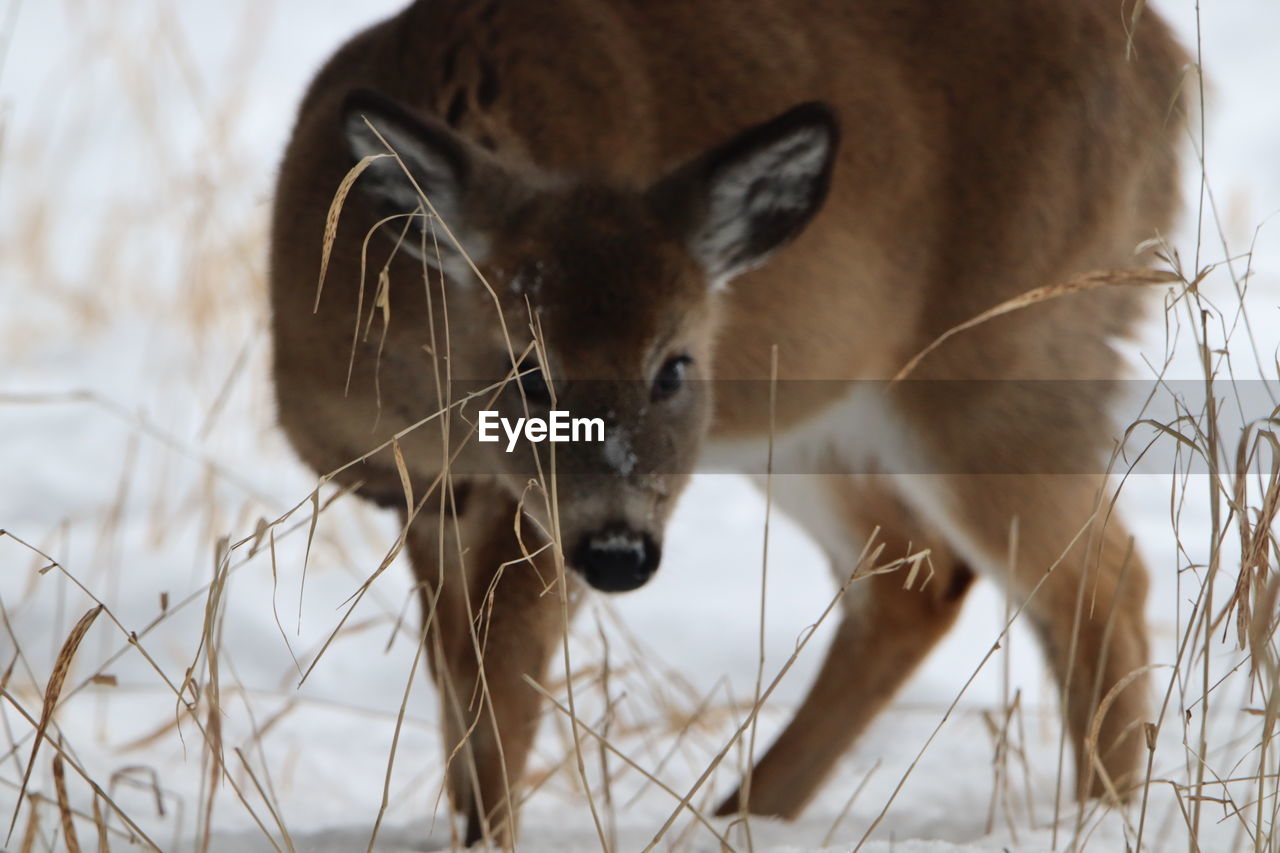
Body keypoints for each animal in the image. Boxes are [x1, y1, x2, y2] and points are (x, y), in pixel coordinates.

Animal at [270, 0, 1187, 840]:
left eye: (675, 364)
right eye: (529, 367)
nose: (620, 551)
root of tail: (1170, 67)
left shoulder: (527, 518)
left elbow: (500, 685)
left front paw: (487, 832)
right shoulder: (430, 497)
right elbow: (461, 682)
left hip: (1006, 356)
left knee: (1100, 578)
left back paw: (1102, 818)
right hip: (808, 421)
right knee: (914, 574)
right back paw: (741, 816)